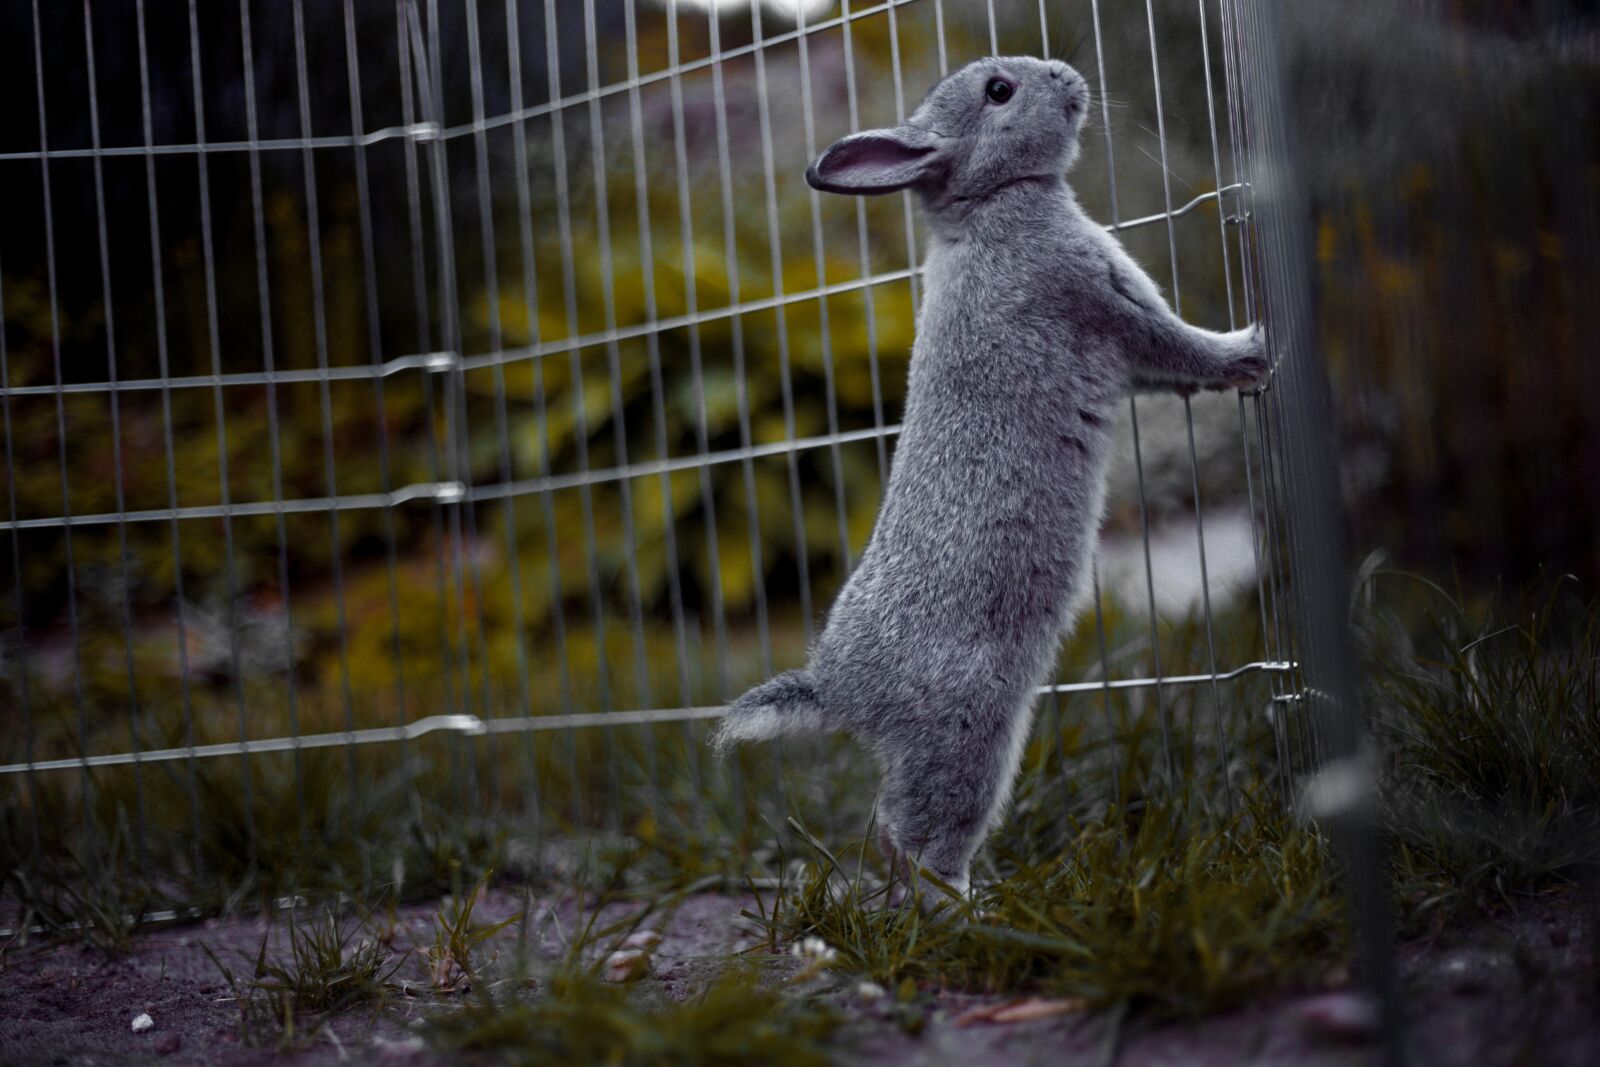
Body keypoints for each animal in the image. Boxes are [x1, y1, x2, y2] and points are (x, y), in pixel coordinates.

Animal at [711, 56, 1270, 897]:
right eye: (999, 92)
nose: (1067, 76)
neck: (989, 201)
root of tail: (837, 687)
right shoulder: (1104, 296)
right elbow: (1178, 347)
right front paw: (1250, 352)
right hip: (969, 736)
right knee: (920, 836)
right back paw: (970, 902)